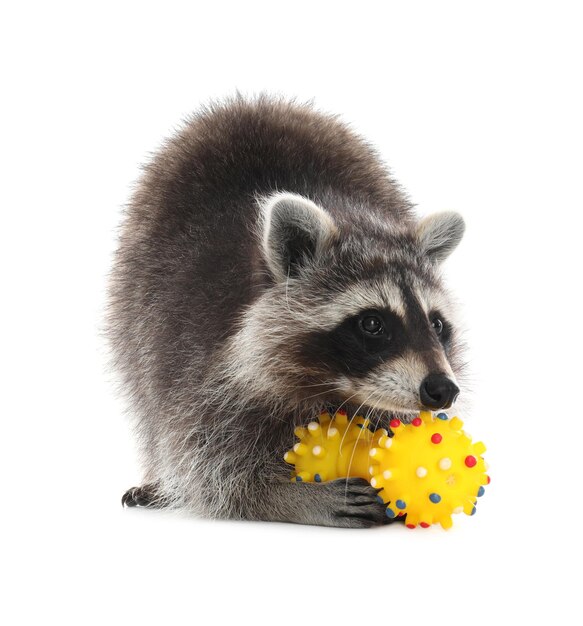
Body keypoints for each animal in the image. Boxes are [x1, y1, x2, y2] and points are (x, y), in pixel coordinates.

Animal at [108, 95, 466, 528]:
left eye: (437, 323)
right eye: (372, 323)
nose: (442, 389)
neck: (330, 385)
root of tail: (247, 105)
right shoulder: (192, 360)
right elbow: (211, 467)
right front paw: (284, 495)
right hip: (135, 300)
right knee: (145, 394)